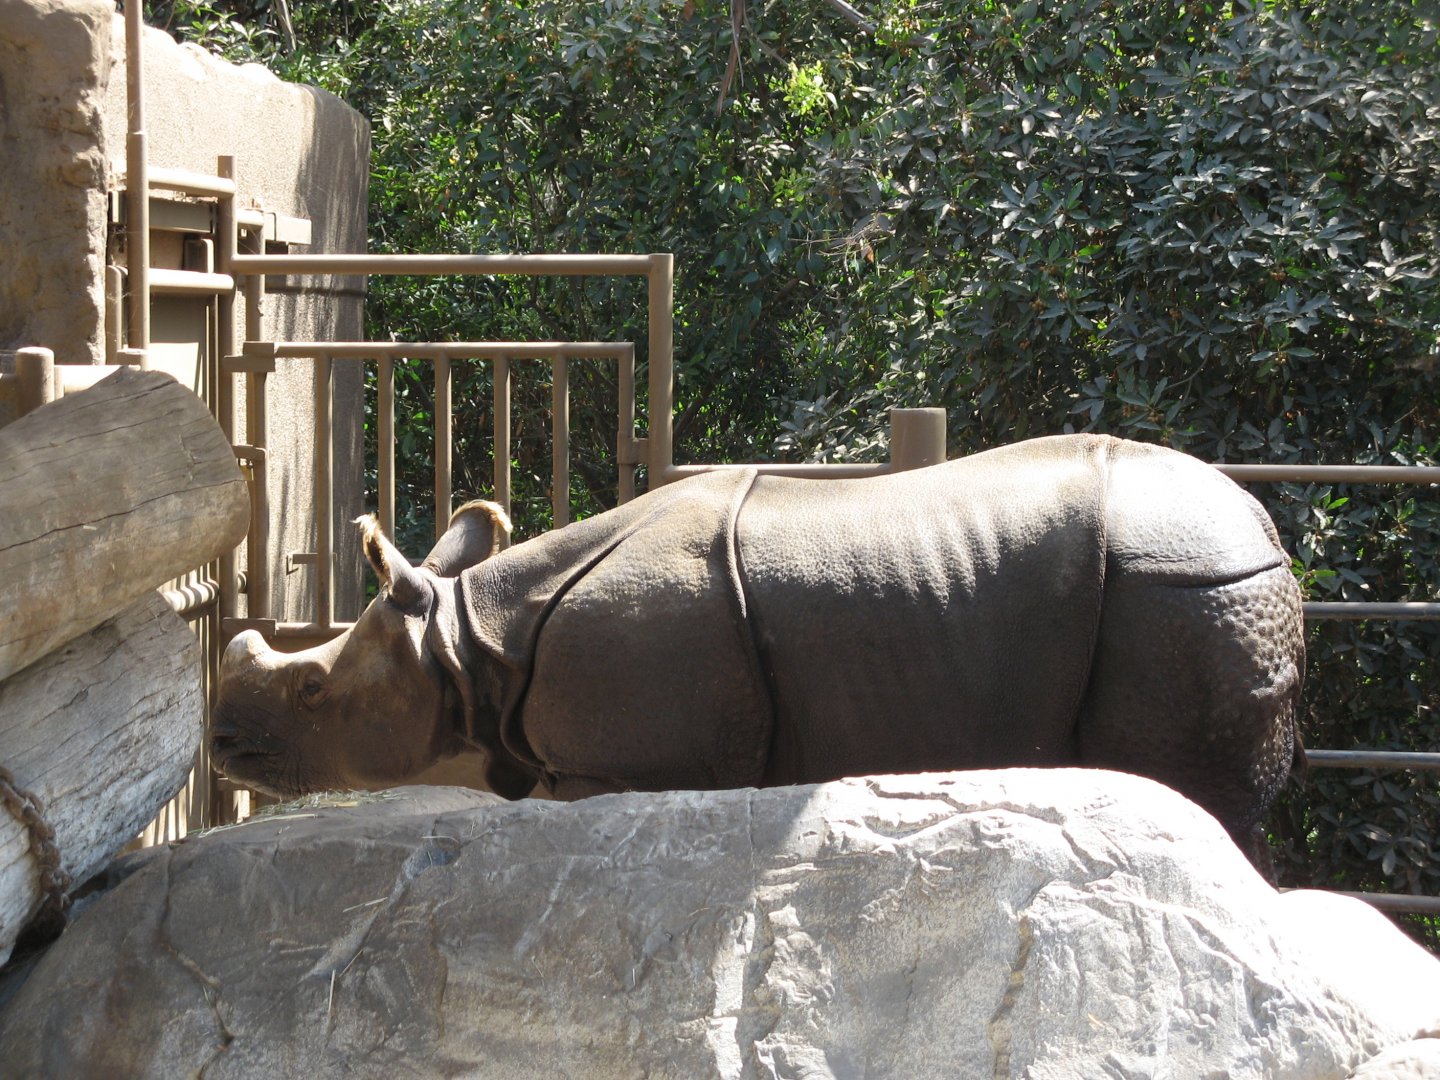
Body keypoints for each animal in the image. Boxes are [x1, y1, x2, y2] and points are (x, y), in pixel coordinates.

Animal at [213, 434, 1305, 863]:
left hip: (1182, 590)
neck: (474, 645)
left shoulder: (635, 765)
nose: (220, 741)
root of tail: (1263, 528)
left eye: (313, 693)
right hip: (1193, 587)